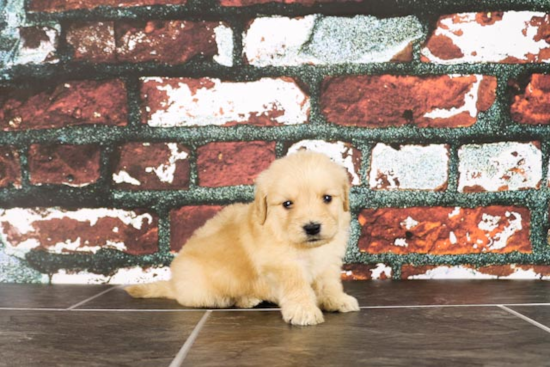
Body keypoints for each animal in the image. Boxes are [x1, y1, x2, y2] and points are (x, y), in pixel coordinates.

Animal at [125, 151, 360, 326]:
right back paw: (245, 298)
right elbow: (296, 286)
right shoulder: (283, 264)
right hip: (206, 292)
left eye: (327, 198)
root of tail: (173, 284)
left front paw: (337, 300)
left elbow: (329, 284)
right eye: (287, 204)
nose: (312, 227)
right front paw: (304, 310)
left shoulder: (329, 261)